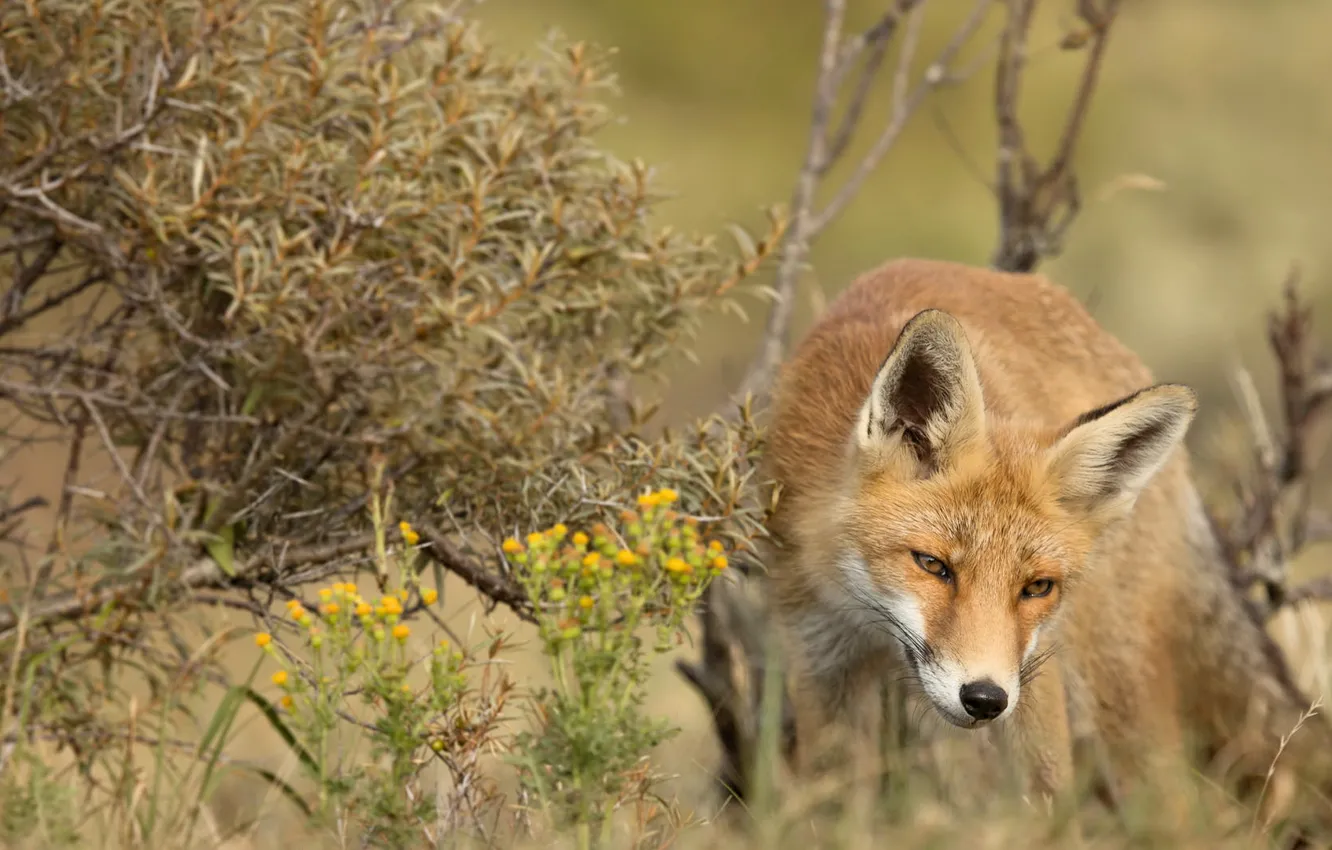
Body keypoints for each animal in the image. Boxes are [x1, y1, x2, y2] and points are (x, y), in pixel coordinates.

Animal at [761, 257, 1332, 839]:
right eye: (932, 564)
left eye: (1037, 587)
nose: (984, 699)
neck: (861, 610)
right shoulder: (821, 658)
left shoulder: (1030, 681)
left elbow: (1047, 801)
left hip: (1115, 689)